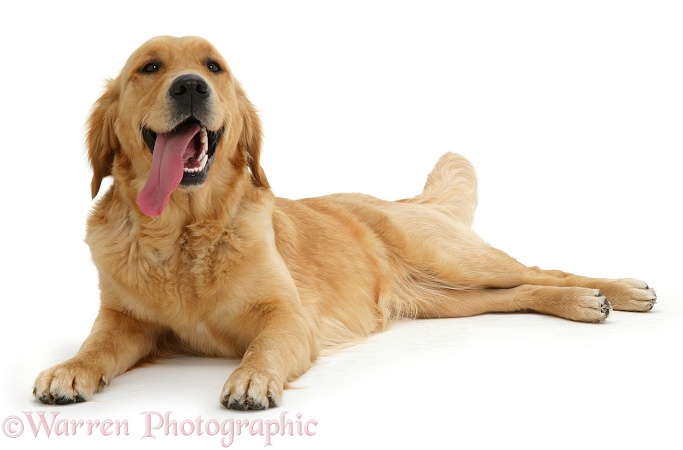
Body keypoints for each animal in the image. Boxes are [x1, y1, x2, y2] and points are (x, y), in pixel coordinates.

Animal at [33, 37, 656, 412]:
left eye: (213, 67)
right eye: (150, 67)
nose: (191, 85)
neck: (181, 234)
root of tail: (402, 199)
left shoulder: (287, 317)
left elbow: (263, 348)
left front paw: (252, 379)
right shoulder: (126, 321)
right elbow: (95, 346)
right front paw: (69, 370)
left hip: (455, 260)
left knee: (545, 268)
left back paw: (618, 291)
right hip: (447, 299)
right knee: (521, 292)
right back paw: (584, 303)